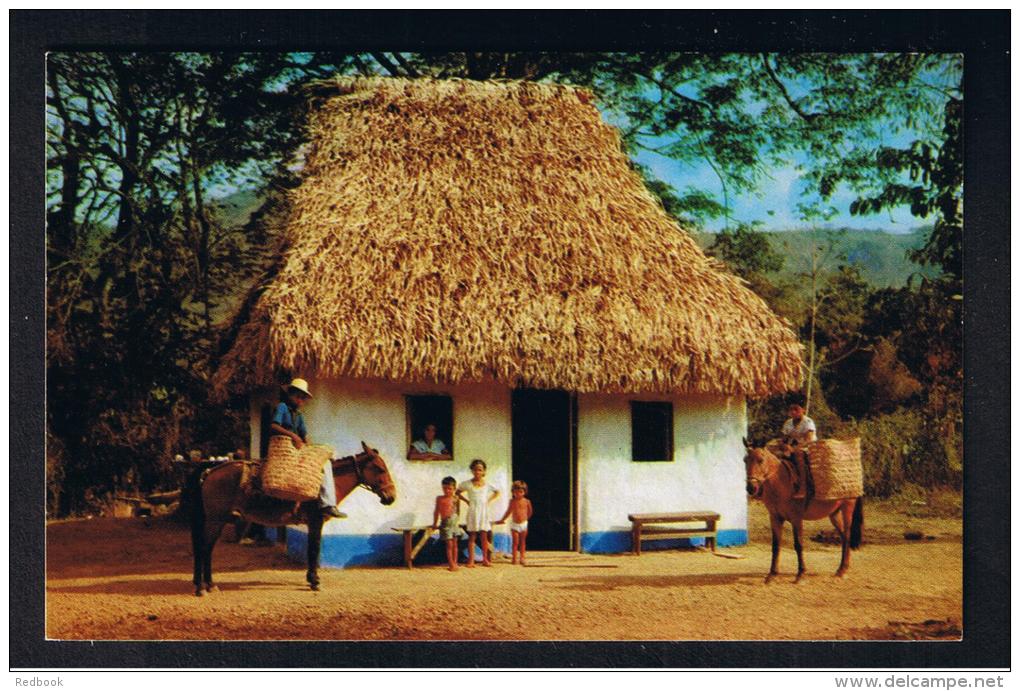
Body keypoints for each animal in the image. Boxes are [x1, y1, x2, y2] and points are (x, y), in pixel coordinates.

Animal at [189, 445, 395, 596]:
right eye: (379, 468)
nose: (391, 497)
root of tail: (210, 471)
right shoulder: (316, 521)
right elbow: (314, 550)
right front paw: (315, 581)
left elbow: (312, 550)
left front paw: (311, 579)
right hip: (215, 520)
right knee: (204, 548)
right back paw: (203, 587)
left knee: (205, 549)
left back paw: (206, 584)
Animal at [742, 438, 860, 579]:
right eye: (745, 460)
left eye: (760, 460)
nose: (751, 487)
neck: (783, 483)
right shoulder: (775, 518)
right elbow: (775, 545)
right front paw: (772, 574)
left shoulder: (796, 519)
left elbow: (798, 544)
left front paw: (801, 574)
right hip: (834, 513)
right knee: (843, 536)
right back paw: (841, 569)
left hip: (847, 508)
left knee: (847, 535)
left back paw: (843, 570)